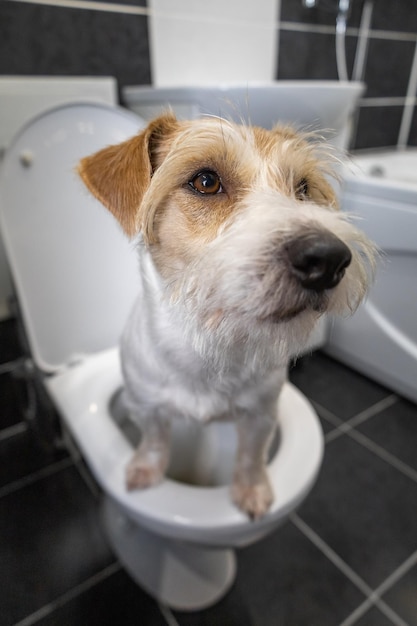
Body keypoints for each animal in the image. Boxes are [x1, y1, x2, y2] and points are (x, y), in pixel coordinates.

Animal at [79, 112, 376, 516]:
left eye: (302, 189)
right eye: (206, 181)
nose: (329, 259)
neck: (207, 345)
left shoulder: (262, 415)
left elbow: (251, 456)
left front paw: (251, 490)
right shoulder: (146, 407)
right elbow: (154, 441)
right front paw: (146, 469)